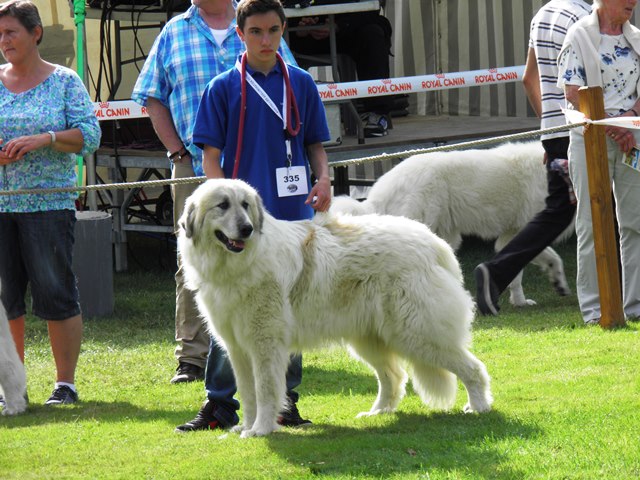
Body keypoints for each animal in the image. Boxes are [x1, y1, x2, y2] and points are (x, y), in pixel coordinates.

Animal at [178, 179, 492, 438]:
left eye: (245, 205)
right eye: (222, 205)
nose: (247, 229)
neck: (238, 265)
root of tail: (436, 245)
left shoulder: (265, 345)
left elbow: (265, 391)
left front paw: (261, 429)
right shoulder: (238, 349)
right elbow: (248, 393)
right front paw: (245, 427)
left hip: (417, 333)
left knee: (473, 368)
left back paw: (478, 407)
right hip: (371, 339)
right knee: (393, 376)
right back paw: (377, 412)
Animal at [332, 141, 572, 306]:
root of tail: (383, 187)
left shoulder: (511, 236)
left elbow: (524, 267)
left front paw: (525, 299)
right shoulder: (531, 228)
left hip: (445, 239)